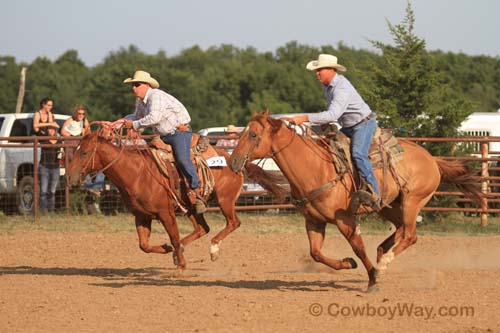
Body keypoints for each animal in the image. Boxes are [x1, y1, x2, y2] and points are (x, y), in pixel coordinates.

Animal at [67, 128, 286, 272]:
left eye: (84, 152)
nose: (70, 177)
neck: (136, 173)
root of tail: (234, 160)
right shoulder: (141, 216)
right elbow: (144, 245)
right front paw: (167, 249)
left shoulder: (166, 213)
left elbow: (172, 235)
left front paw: (180, 265)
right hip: (191, 206)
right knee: (202, 228)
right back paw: (178, 250)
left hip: (225, 200)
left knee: (233, 223)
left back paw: (212, 250)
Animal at [229, 111, 482, 288]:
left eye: (253, 134)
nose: (233, 162)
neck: (316, 168)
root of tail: (432, 159)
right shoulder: (313, 220)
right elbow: (316, 253)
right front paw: (347, 263)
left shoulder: (346, 220)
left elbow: (358, 247)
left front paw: (373, 279)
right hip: (389, 206)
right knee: (401, 230)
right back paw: (382, 254)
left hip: (413, 201)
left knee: (410, 235)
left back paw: (384, 262)